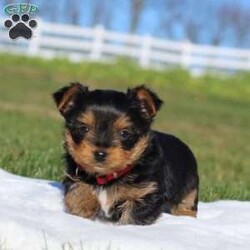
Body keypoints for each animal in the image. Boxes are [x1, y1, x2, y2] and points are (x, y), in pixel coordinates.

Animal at [52, 83, 199, 226]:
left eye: (124, 133)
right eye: (83, 128)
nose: (100, 153)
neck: (107, 177)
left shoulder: (145, 193)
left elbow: (131, 219)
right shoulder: (74, 176)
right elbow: (78, 192)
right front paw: (83, 207)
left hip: (190, 185)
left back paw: (185, 214)